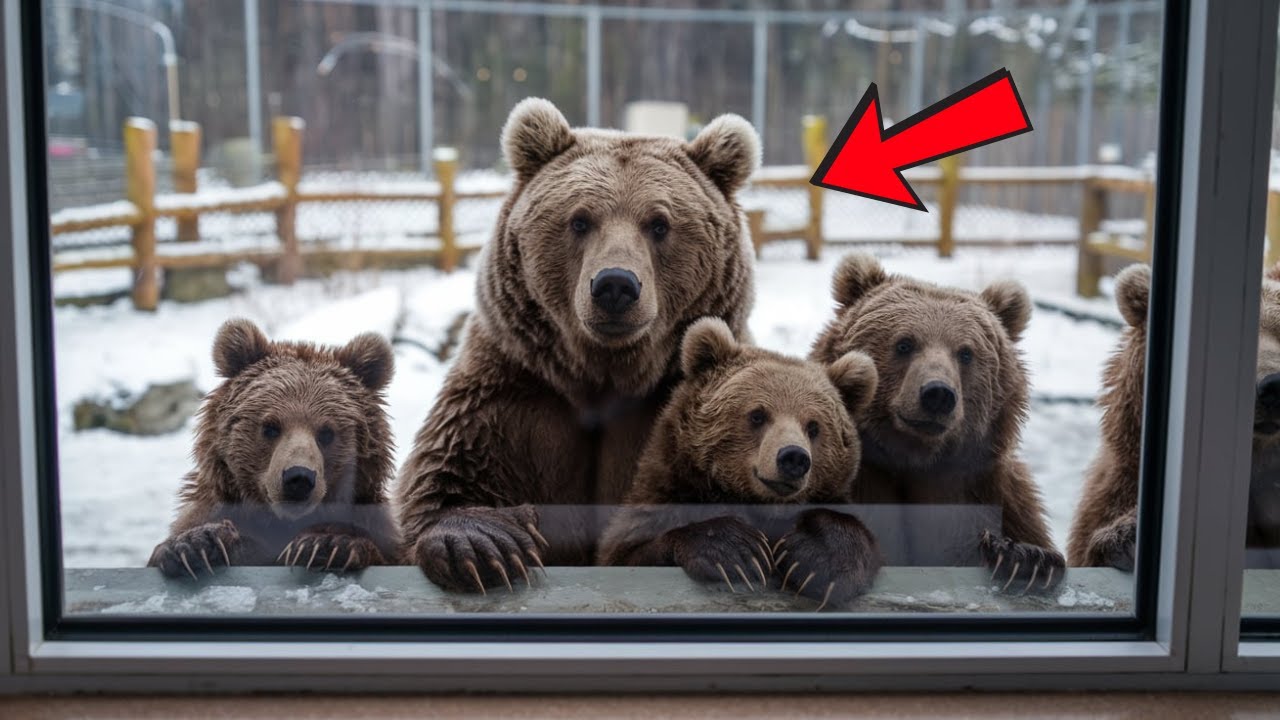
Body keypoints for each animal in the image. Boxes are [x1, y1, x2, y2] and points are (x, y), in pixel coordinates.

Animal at [147, 319, 400, 579]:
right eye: (270, 427)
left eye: (327, 432)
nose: (298, 478)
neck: (281, 522)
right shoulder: (214, 509)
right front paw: (196, 543)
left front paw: (327, 545)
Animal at [397, 98, 760, 592]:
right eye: (581, 219)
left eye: (659, 223)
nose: (615, 285)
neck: (603, 375)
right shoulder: (515, 394)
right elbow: (451, 471)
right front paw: (482, 544)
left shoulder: (680, 401)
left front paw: (727, 545)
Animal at [596, 318, 883, 610]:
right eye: (758, 415)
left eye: (814, 426)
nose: (793, 457)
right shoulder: (666, 493)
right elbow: (627, 553)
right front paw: (738, 551)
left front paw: (821, 561)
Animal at [809, 252, 1065, 593]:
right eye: (904, 343)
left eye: (966, 353)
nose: (938, 394)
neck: (914, 461)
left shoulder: (988, 494)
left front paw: (1026, 558)